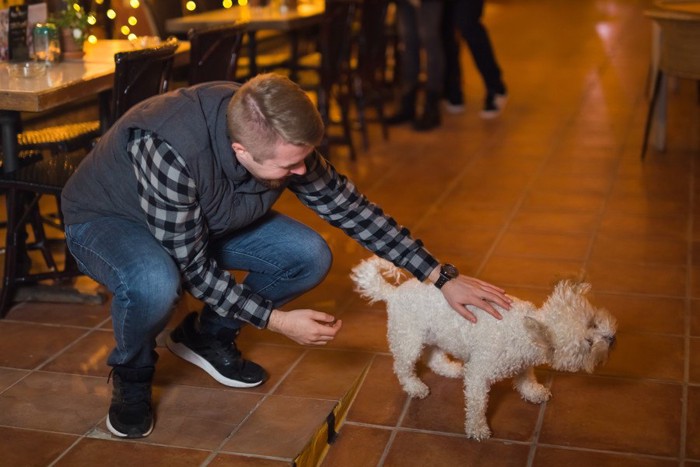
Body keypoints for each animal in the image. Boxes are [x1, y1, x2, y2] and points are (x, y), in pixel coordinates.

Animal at [352, 258, 616, 440]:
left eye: (593, 321)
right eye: (587, 343)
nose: (612, 338)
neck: (525, 331)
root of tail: (393, 294)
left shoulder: (522, 362)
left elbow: (526, 379)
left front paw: (533, 392)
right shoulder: (478, 374)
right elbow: (477, 404)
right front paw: (477, 428)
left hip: (437, 335)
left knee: (434, 358)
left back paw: (450, 369)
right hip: (408, 341)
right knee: (403, 367)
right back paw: (415, 386)